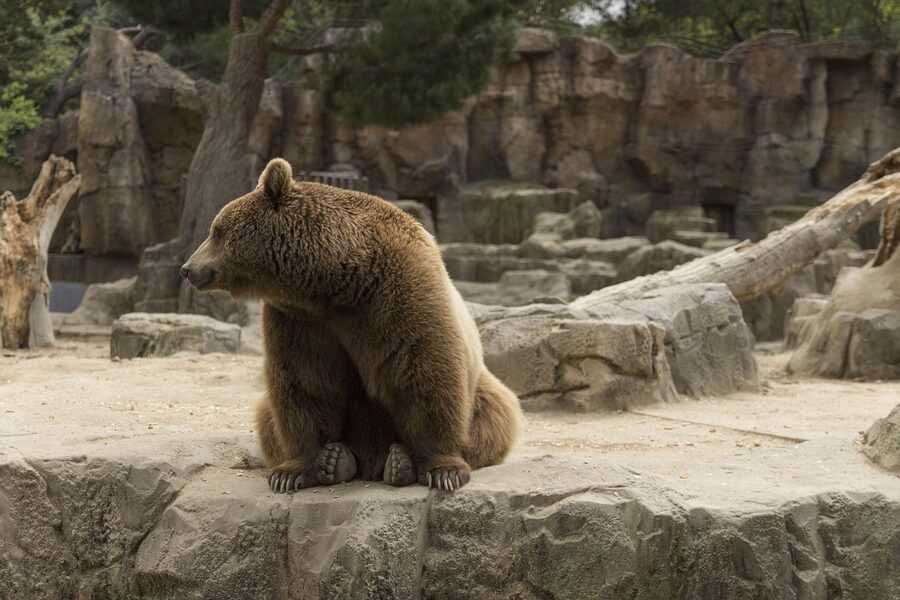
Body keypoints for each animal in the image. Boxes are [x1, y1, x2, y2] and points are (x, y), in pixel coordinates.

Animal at [181, 157, 523, 491]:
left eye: (217, 230)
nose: (187, 268)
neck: (339, 281)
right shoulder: (300, 319)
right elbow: (305, 381)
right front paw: (297, 470)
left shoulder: (400, 291)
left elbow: (424, 369)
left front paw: (443, 470)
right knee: (267, 416)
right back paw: (341, 461)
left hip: (483, 390)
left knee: (493, 415)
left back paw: (399, 463)